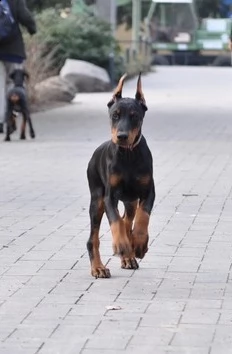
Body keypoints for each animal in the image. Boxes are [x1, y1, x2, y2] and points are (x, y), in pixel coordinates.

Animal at [87, 73, 156, 280]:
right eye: (115, 116)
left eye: (135, 117)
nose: (122, 136)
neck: (128, 155)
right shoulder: (109, 197)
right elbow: (115, 221)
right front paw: (121, 244)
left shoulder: (148, 192)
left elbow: (143, 215)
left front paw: (139, 243)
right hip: (97, 200)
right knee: (93, 238)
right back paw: (99, 268)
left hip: (130, 200)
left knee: (128, 219)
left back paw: (129, 254)